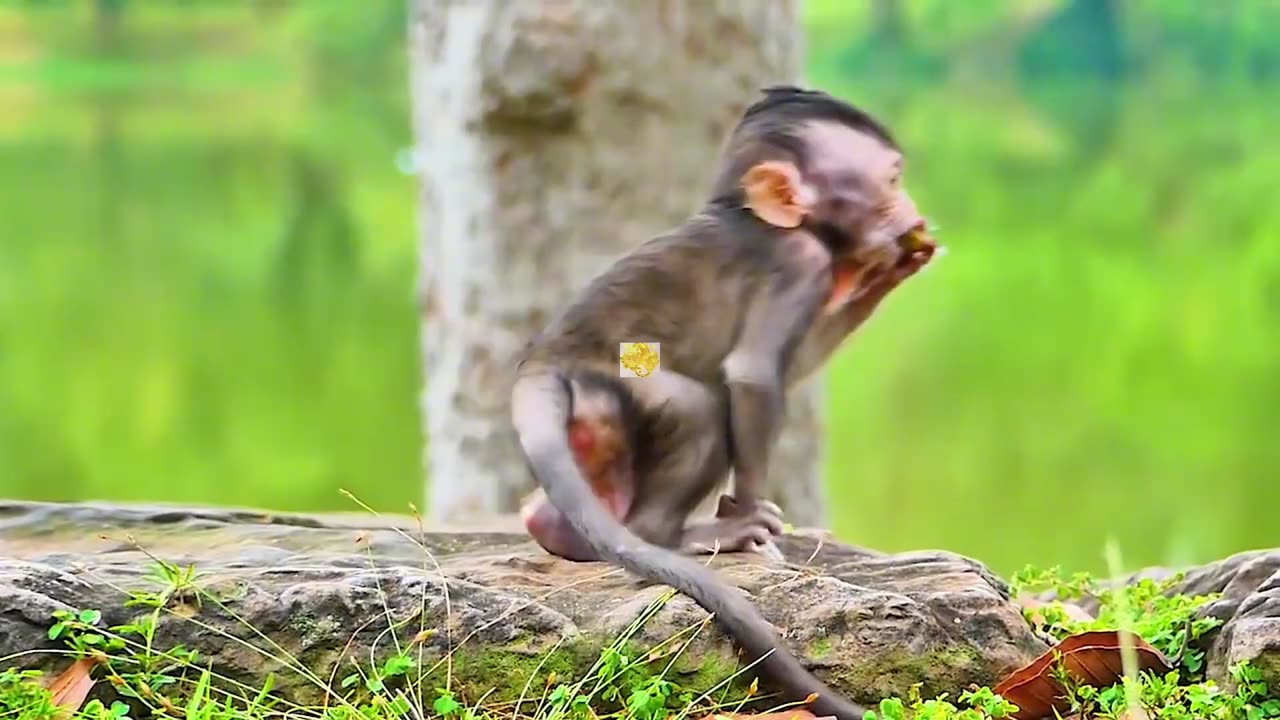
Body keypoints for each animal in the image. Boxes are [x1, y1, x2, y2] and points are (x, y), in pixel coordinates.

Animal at [509, 85, 942, 717]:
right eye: (889, 181)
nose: (909, 211)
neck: (749, 213)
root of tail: (541, 364)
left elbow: (793, 363)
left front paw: (890, 271)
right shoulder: (799, 264)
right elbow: (754, 374)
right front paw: (746, 512)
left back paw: (557, 530)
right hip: (617, 383)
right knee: (698, 409)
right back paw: (679, 535)